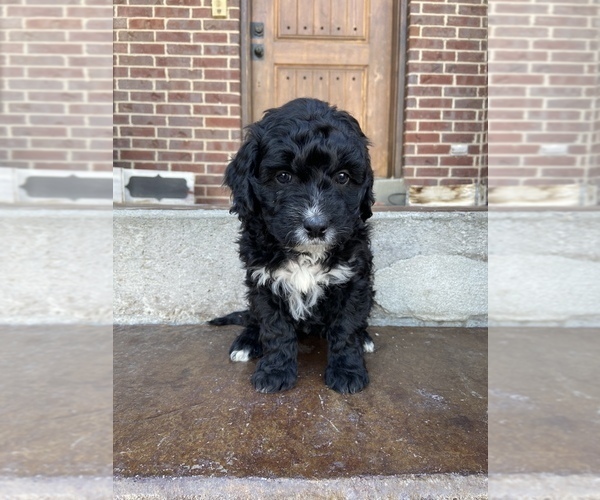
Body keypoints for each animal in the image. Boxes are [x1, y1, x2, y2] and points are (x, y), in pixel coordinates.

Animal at [216, 98, 376, 394]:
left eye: (343, 177)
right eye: (283, 176)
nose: (315, 226)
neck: (306, 255)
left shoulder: (353, 279)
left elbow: (347, 328)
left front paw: (347, 372)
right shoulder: (263, 280)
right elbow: (275, 329)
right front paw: (275, 372)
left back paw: (365, 339)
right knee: (253, 319)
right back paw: (247, 342)